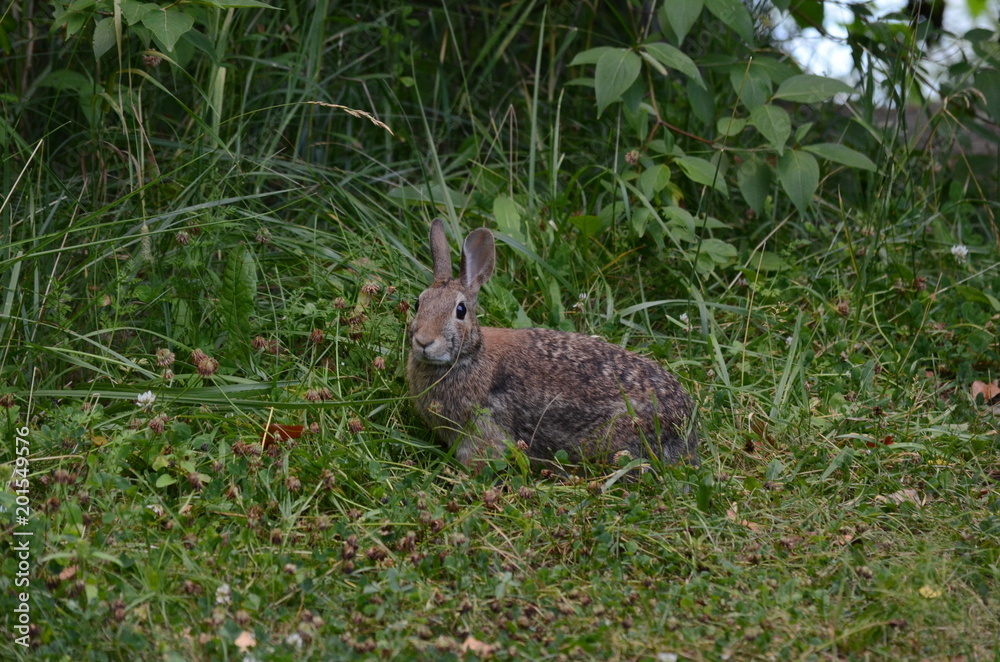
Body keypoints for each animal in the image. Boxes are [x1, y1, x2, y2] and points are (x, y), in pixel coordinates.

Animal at [407, 218, 698, 471]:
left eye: (461, 310)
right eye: (418, 303)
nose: (423, 341)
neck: (470, 357)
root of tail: (685, 419)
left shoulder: (482, 428)